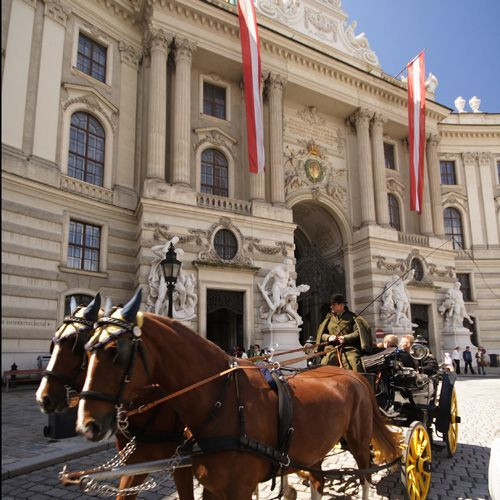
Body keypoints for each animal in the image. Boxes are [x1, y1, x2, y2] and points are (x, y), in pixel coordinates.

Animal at [76, 292, 400, 498]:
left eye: (115, 352)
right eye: (86, 350)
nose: (86, 425)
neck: (223, 404)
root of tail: (354, 374)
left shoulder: (238, 488)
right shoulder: (208, 486)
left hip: (358, 439)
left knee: (365, 474)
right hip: (316, 445)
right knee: (318, 480)